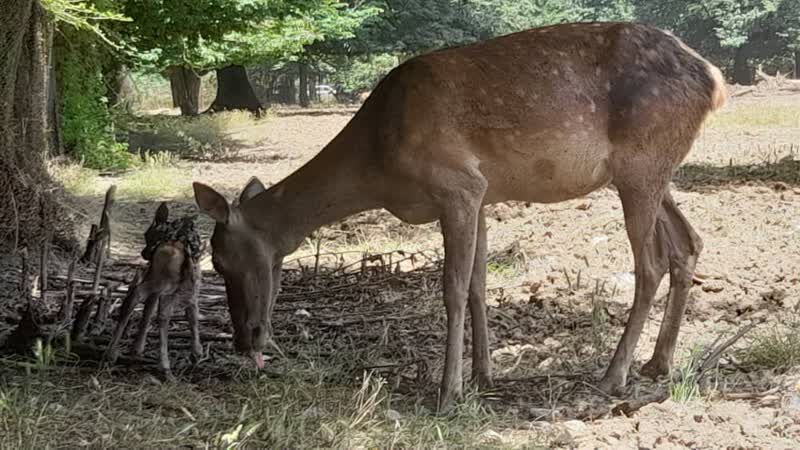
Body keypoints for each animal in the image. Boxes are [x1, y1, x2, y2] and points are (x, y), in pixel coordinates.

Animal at [104, 203, 203, 376]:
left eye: (147, 234)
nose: (144, 253)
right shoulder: (190, 286)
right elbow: (192, 314)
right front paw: (196, 353)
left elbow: (148, 311)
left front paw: (137, 348)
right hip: (167, 283)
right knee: (158, 310)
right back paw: (164, 366)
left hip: (158, 281)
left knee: (135, 296)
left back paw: (113, 353)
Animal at [192, 22, 724, 412]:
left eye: (219, 260)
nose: (244, 339)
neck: (378, 164)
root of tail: (713, 79)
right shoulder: (482, 194)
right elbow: (477, 284)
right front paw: (484, 375)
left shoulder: (457, 185)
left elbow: (451, 288)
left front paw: (448, 392)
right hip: (651, 171)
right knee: (688, 243)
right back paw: (658, 363)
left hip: (642, 161)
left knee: (651, 262)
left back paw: (614, 375)